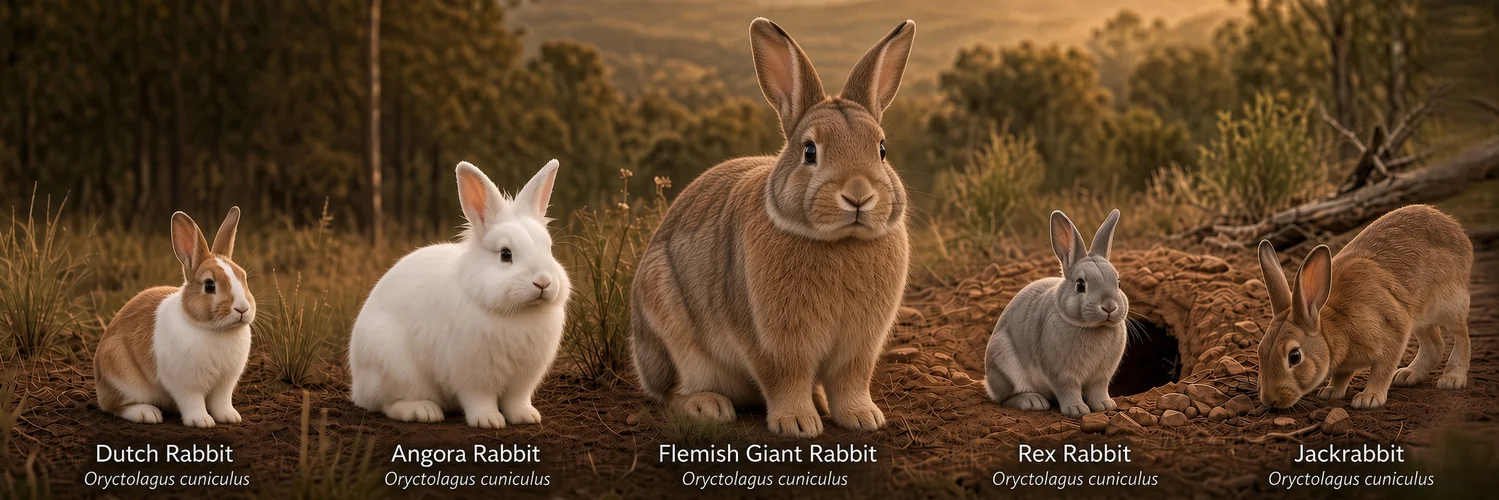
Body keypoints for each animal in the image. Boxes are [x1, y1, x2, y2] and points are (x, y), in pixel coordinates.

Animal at [94, 208, 255, 428]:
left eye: (243, 278)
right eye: (209, 286)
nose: (242, 309)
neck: (213, 329)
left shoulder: (225, 383)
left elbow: (221, 402)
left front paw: (230, 417)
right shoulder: (185, 383)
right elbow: (192, 401)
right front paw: (201, 421)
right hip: (122, 376)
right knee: (115, 406)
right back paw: (147, 413)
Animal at [349, 160, 569, 429]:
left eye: (549, 249)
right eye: (506, 254)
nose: (543, 282)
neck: (518, 312)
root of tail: (357, 386)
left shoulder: (523, 379)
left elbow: (517, 400)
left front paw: (526, 416)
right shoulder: (472, 375)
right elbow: (479, 399)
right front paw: (489, 420)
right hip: (395, 367)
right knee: (389, 403)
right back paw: (422, 411)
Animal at [629, 18, 916, 438]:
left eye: (882, 150)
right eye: (810, 152)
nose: (858, 195)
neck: (840, 241)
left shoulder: (860, 345)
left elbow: (850, 380)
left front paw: (863, 418)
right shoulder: (771, 343)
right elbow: (786, 378)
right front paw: (797, 424)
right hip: (668, 331)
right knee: (669, 393)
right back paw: (707, 406)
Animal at [985, 209, 1128, 418]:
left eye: (1118, 283)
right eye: (1080, 285)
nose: (1109, 307)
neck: (1093, 328)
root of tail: (988, 382)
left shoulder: (1101, 376)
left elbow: (1098, 389)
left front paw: (1105, 405)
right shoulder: (1061, 374)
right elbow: (1068, 390)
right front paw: (1077, 409)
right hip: (1004, 363)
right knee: (1004, 397)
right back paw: (1032, 401)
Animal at [1256, 205, 1473, 410]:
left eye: (1294, 356)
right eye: (1261, 349)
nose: (1270, 400)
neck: (1334, 327)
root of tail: (1456, 230)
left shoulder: (1394, 329)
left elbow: (1382, 370)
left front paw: (1369, 398)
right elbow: (1342, 374)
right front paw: (1331, 391)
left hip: (1449, 305)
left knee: (1462, 336)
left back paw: (1452, 378)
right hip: (1419, 317)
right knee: (1435, 345)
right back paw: (1408, 374)